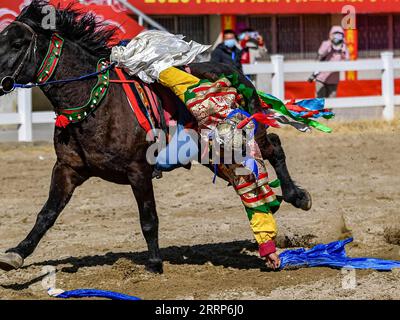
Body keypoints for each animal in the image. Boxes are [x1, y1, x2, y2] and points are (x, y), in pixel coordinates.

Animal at [0, 0, 310, 276]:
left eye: (17, 44)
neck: (96, 102)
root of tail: (236, 72)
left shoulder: (138, 171)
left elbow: (148, 218)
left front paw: (154, 263)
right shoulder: (68, 169)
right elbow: (47, 214)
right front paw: (18, 252)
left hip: (246, 137)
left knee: (275, 147)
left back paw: (297, 195)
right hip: (213, 154)